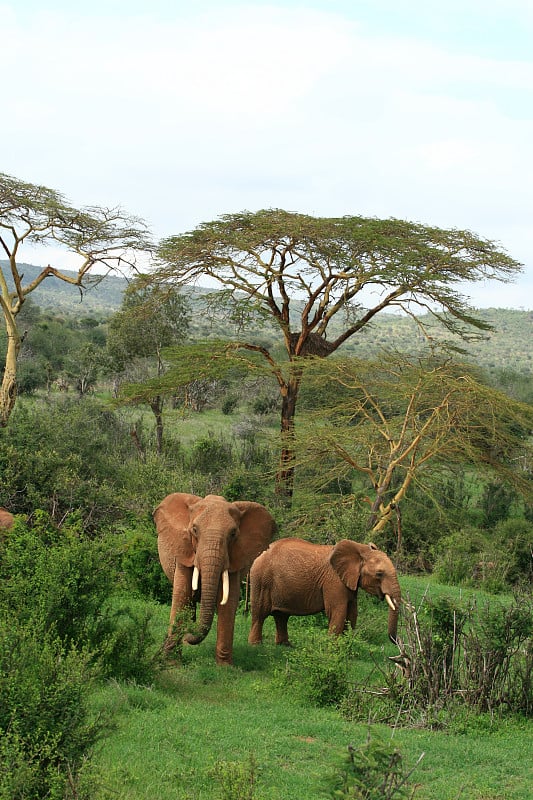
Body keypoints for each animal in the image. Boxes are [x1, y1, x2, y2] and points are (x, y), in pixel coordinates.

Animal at [154, 490, 276, 664]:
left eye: (233, 534)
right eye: (194, 530)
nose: (190, 632)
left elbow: (229, 602)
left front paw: (225, 666)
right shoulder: (185, 551)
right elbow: (181, 596)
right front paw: (172, 662)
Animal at [247, 536, 402, 648]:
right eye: (379, 574)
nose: (397, 642)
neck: (360, 549)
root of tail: (262, 554)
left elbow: (352, 613)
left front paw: (345, 648)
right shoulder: (334, 581)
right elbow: (338, 611)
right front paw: (333, 649)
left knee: (281, 616)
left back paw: (285, 646)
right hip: (261, 579)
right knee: (260, 614)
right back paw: (256, 645)